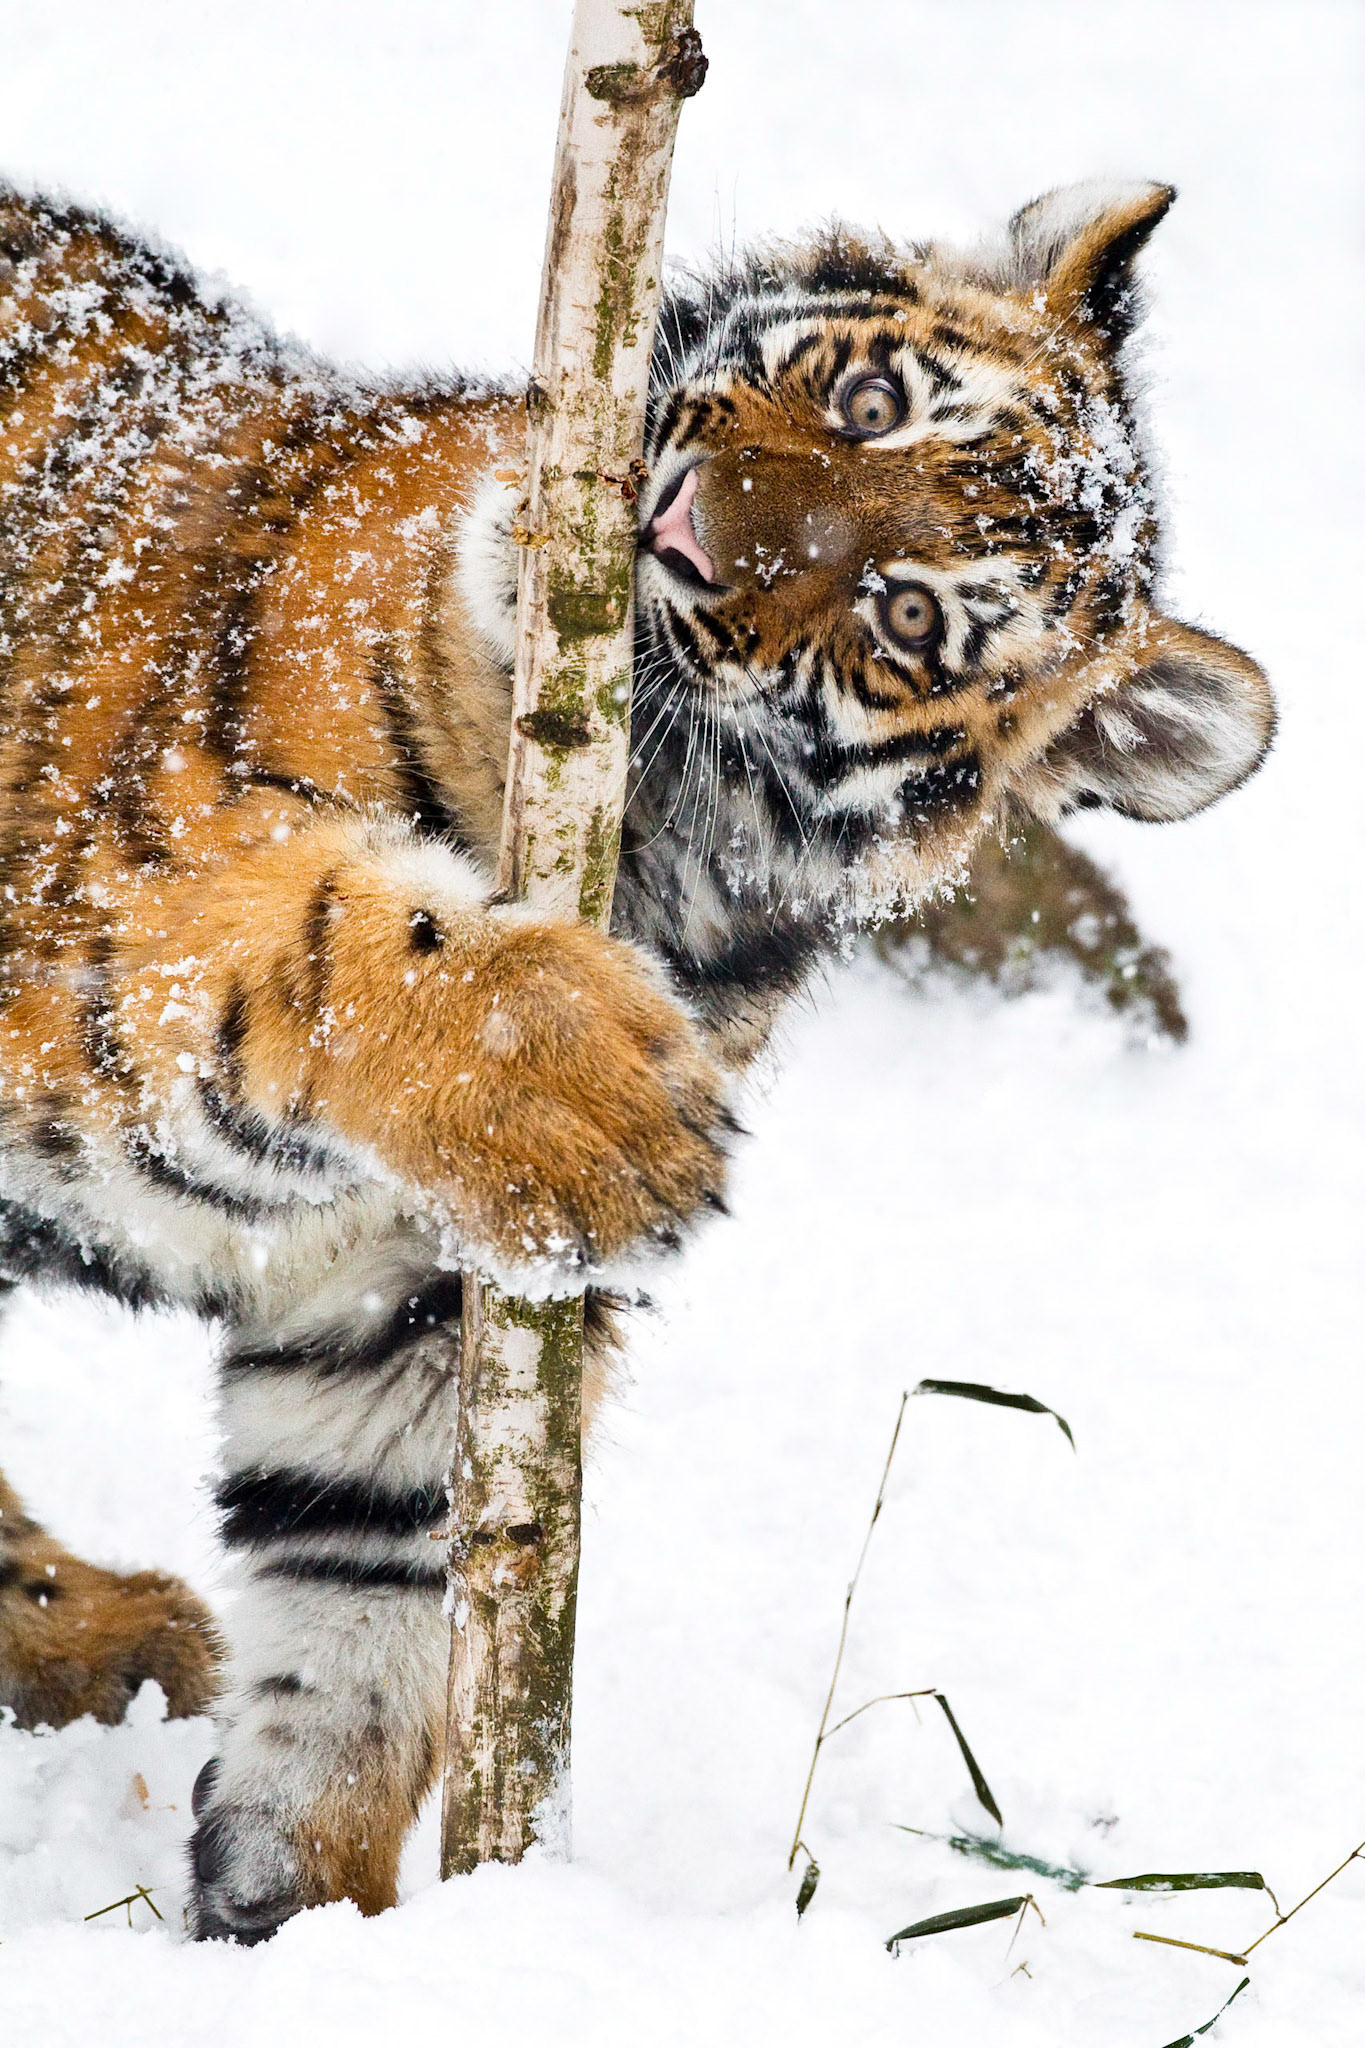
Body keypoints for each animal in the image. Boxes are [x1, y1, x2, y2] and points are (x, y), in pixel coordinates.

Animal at [0, 175, 1272, 1941]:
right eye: (867, 402)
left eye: (907, 616)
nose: (680, 531)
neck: (664, 832)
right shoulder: (108, 903)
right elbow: (328, 935)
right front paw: (589, 1104)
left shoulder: (399, 1315)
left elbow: (367, 1613)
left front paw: (302, 1922)